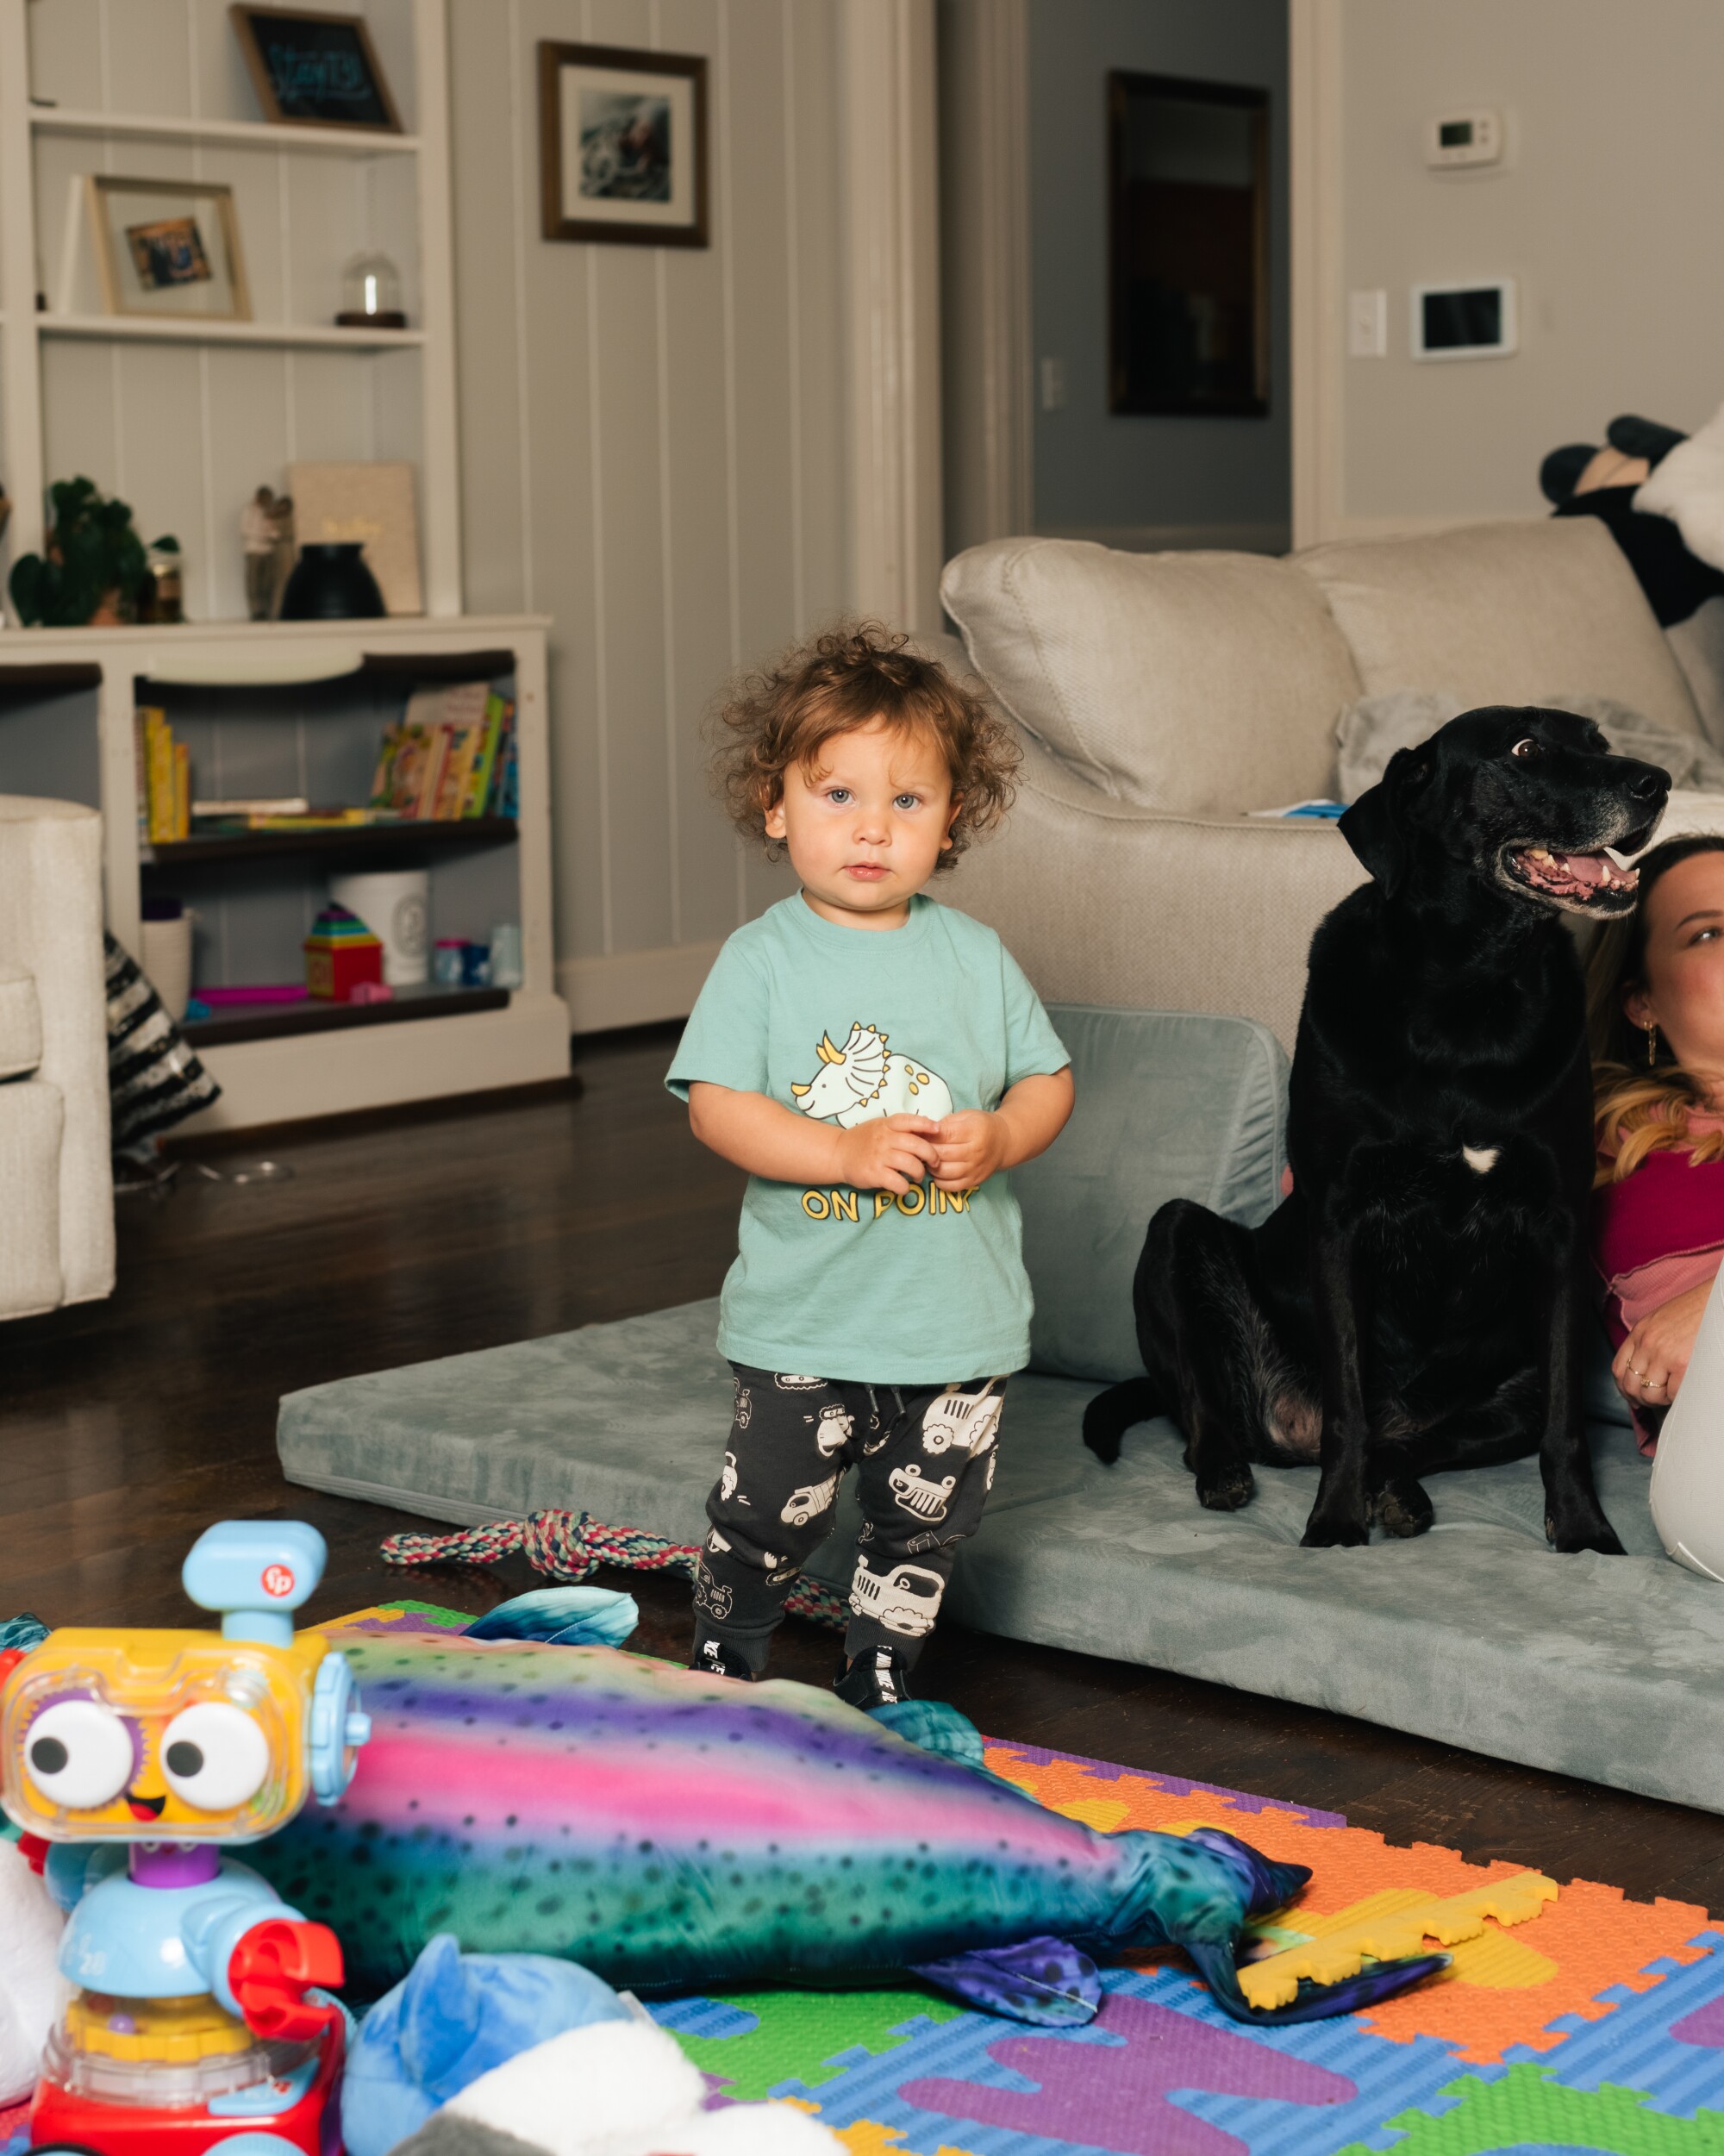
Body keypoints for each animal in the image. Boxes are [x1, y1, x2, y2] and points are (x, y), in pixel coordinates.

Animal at [1086, 707, 1664, 1552]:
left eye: (1598, 740)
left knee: (1414, 1441)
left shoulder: (1558, 1226)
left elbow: (1567, 1424)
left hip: (1507, 1387)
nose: (1657, 783)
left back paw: (1402, 1492)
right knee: (1205, 1413)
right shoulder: (1338, 1216)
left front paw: (1584, 1528)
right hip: (1175, 1234)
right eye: (1524, 749)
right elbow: (1348, 1410)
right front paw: (1333, 1522)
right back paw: (1230, 1468)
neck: (1471, 993)